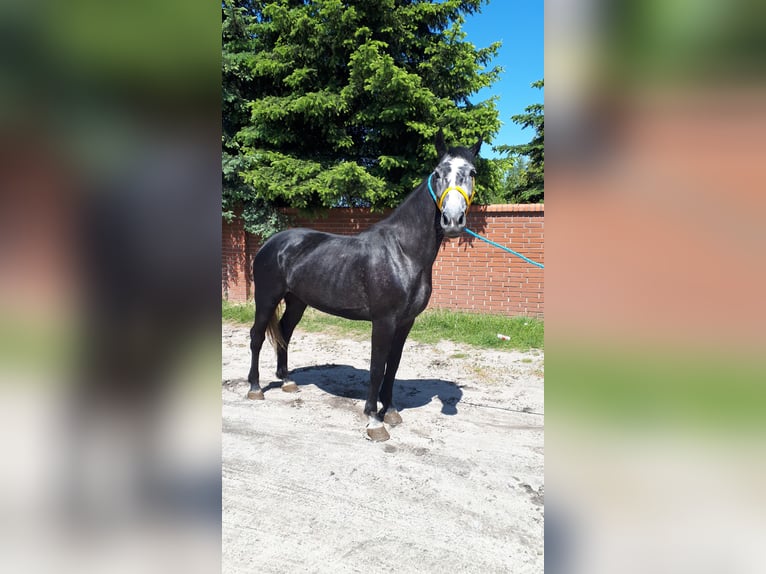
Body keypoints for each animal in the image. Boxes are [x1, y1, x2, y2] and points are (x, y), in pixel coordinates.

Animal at [246, 130, 481, 441]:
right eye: (437, 173)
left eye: (472, 172)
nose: (452, 220)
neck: (403, 252)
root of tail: (272, 243)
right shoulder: (383, 321)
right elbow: (377, 367)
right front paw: (374, 420)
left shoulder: (405, 322)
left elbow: (393, 365)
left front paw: (390, 410)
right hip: (266, 297)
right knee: (257, 336)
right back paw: (255, 387)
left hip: (297, 300)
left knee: (284, 332)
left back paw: (286, 381)